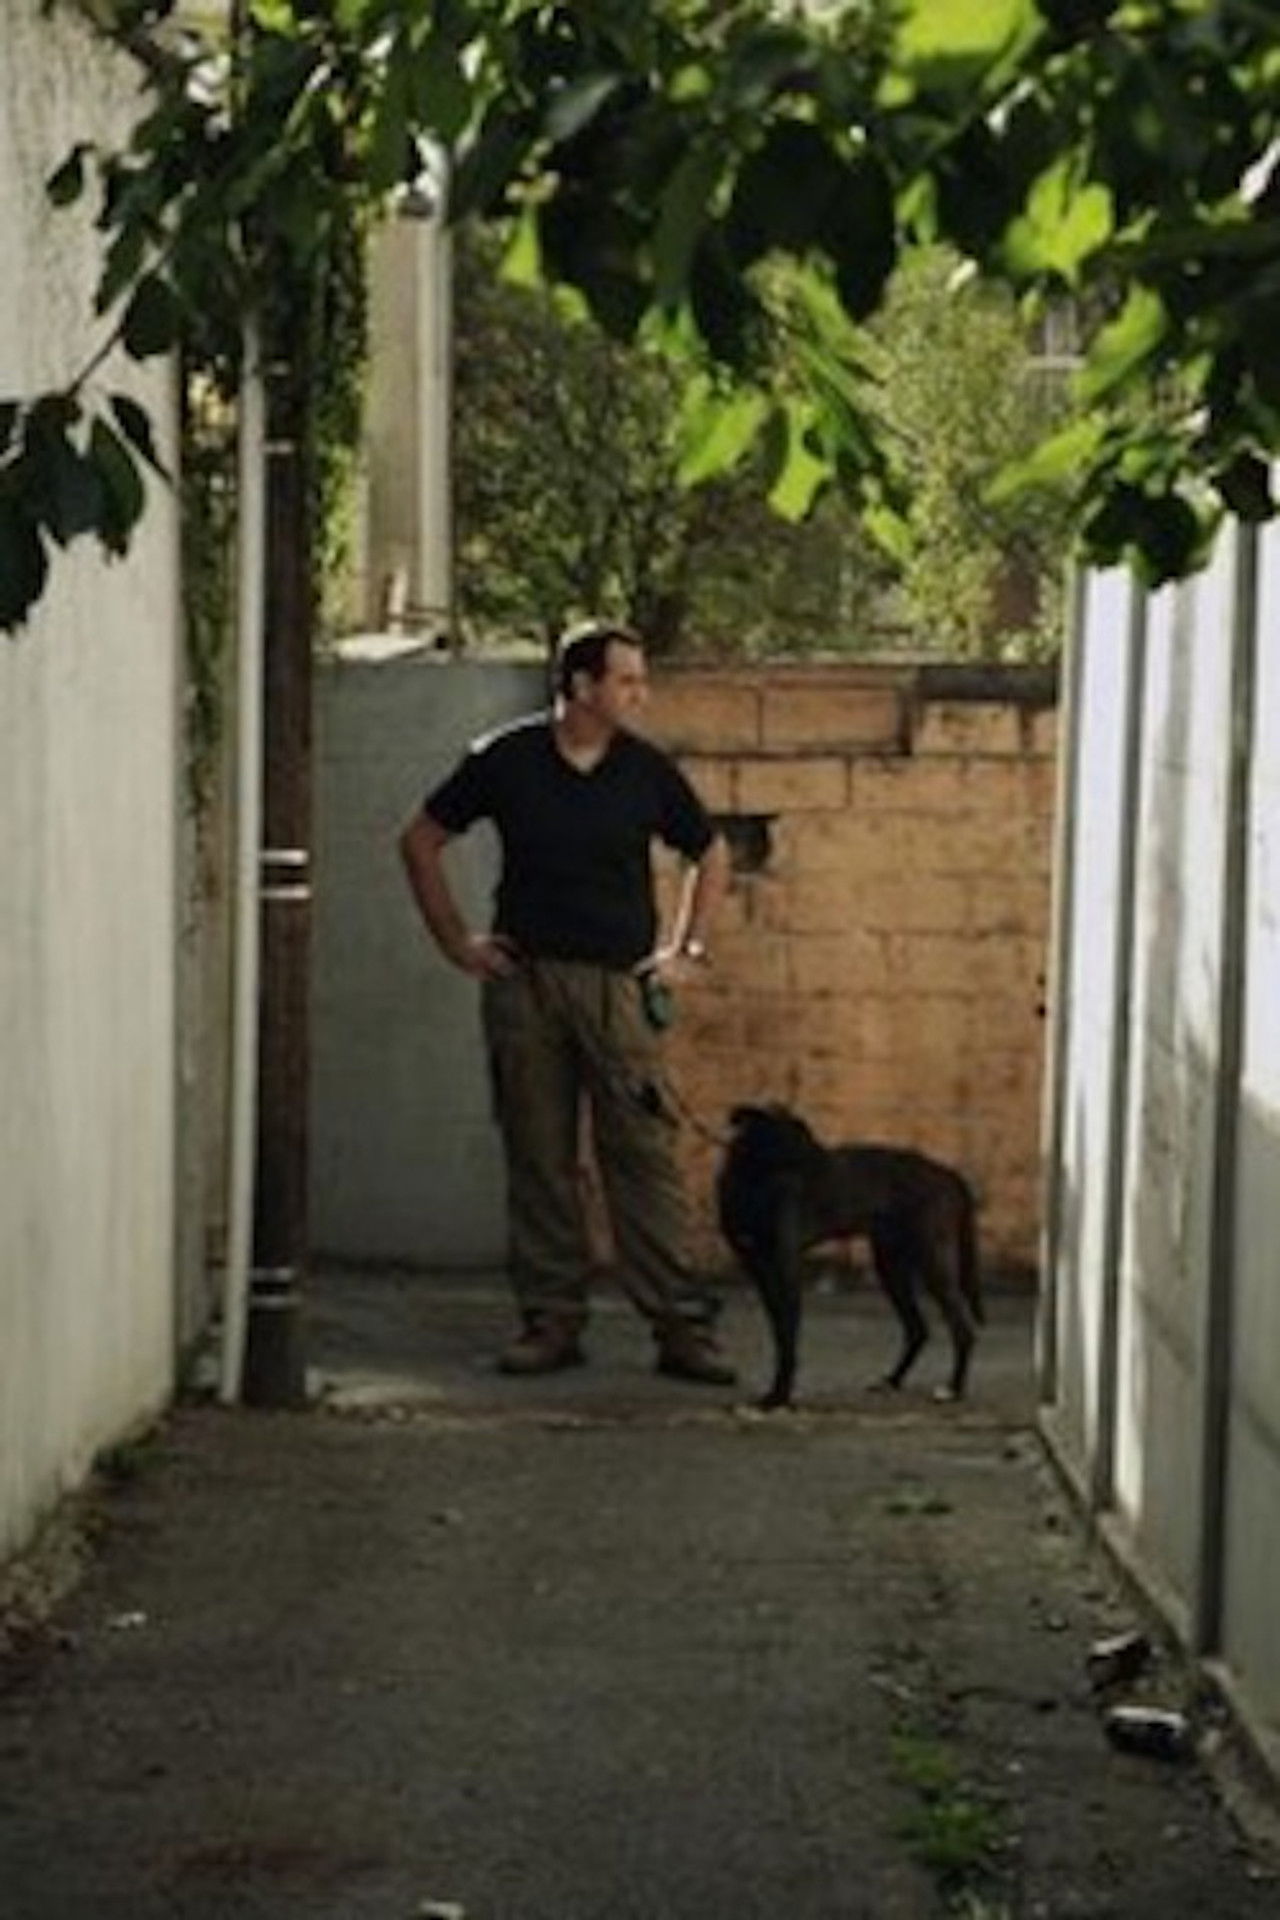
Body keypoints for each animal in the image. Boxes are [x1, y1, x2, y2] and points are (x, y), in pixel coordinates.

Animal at [716, 1103, 983, 1409]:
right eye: (794, 1137)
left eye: (805, 1134)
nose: (833, 1162)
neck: (753, 1184)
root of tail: (949, 1173)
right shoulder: (758, 1269)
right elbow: (779, 1331)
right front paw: (779, 1393)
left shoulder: (786, 1267)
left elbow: (787, 1335)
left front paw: (780, 1396)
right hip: (890, 1266)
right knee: (918, 1328)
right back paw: (892, 1381)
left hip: (932, 1263)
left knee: (962, 1328)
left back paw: (953, 1389)